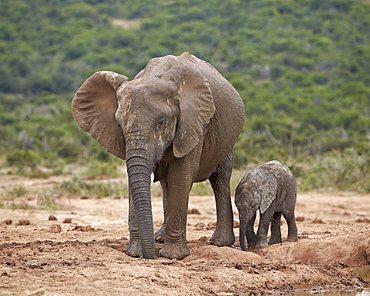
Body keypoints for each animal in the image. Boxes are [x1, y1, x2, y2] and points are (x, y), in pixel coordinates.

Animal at [72, 52, 246, 258]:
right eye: (119, 125)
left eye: (161, 122)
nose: (151, 255)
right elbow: (136, 178)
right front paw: (136, 252)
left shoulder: (193, 123)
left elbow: (181, 176)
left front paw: (172, 256)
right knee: (166, 182)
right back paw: (160, 238)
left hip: (226, 139)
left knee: (220, 177)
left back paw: (220, 242)